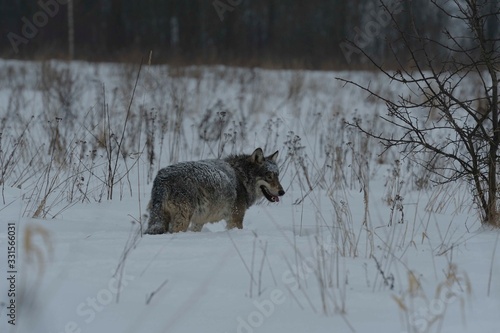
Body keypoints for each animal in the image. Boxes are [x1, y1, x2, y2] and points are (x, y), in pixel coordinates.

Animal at [145, 148, 286, 233]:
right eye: (269, 176)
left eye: (277, 175)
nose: (282, 192)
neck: (242, 177)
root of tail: (162, 178)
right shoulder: (235, 220)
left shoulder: (199, 222)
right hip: (181, 221)